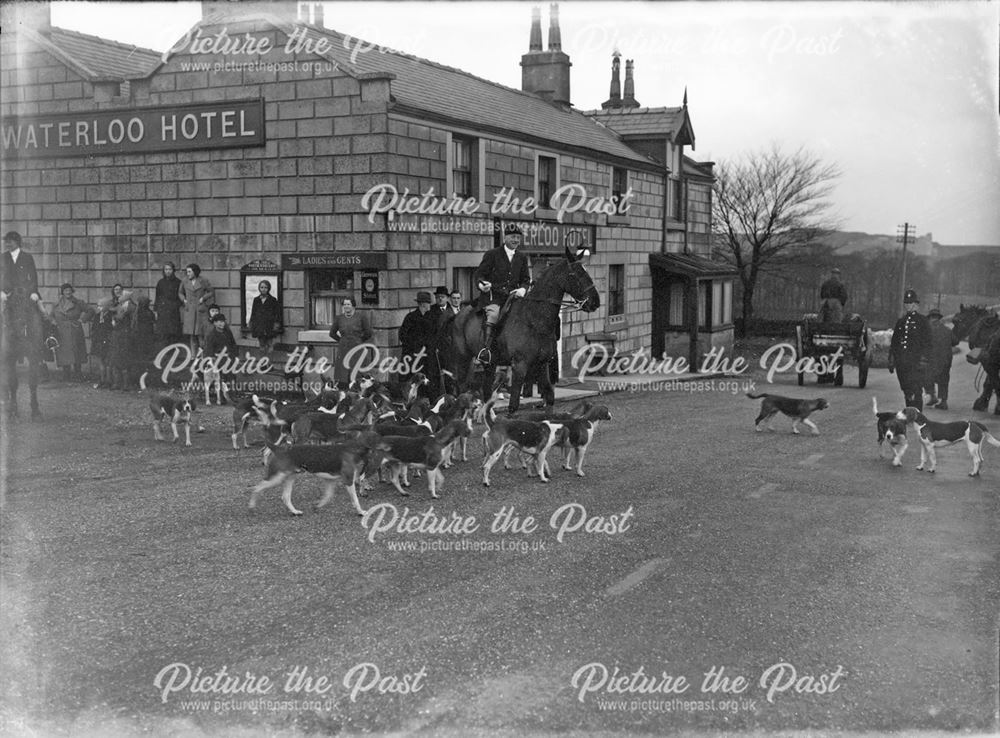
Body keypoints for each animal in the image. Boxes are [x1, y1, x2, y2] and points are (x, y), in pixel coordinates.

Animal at [1, 288, 47, 416]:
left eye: (27, 310)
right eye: (10, 310)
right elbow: (12, 382)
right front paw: (13, 409)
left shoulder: (34, 356)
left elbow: (32, 382)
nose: (12, 336)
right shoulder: (9, 358)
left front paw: (35, 411)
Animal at [448, 246, 600, 414]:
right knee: (462, 387)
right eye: (575, 274)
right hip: (463, 358)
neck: (534, 319)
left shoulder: (542, 364)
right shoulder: (520, 366)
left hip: (490, 363)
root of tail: (460, 313)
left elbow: (550, 397)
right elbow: (514, 405)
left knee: (486, 389)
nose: (595, 302)